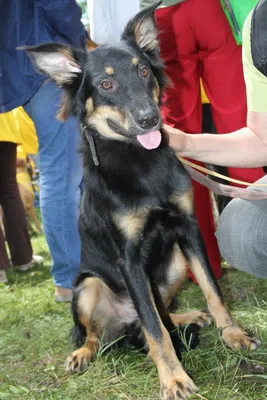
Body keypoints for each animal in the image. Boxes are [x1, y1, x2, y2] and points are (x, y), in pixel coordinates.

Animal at [24, 2, 260, 396]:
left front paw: (233, 334)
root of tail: (122, 323)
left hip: (174, 264)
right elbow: (155, 327)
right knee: (95, 334)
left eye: (144, 71)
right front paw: (174, 378)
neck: (139, 160)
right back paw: (82, 354)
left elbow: (212, 290)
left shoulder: (188, 229)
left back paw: (189, 315)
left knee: (158, 311)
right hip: (87, 286)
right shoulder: (129, 258)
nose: (150, 119)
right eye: (106, 84)